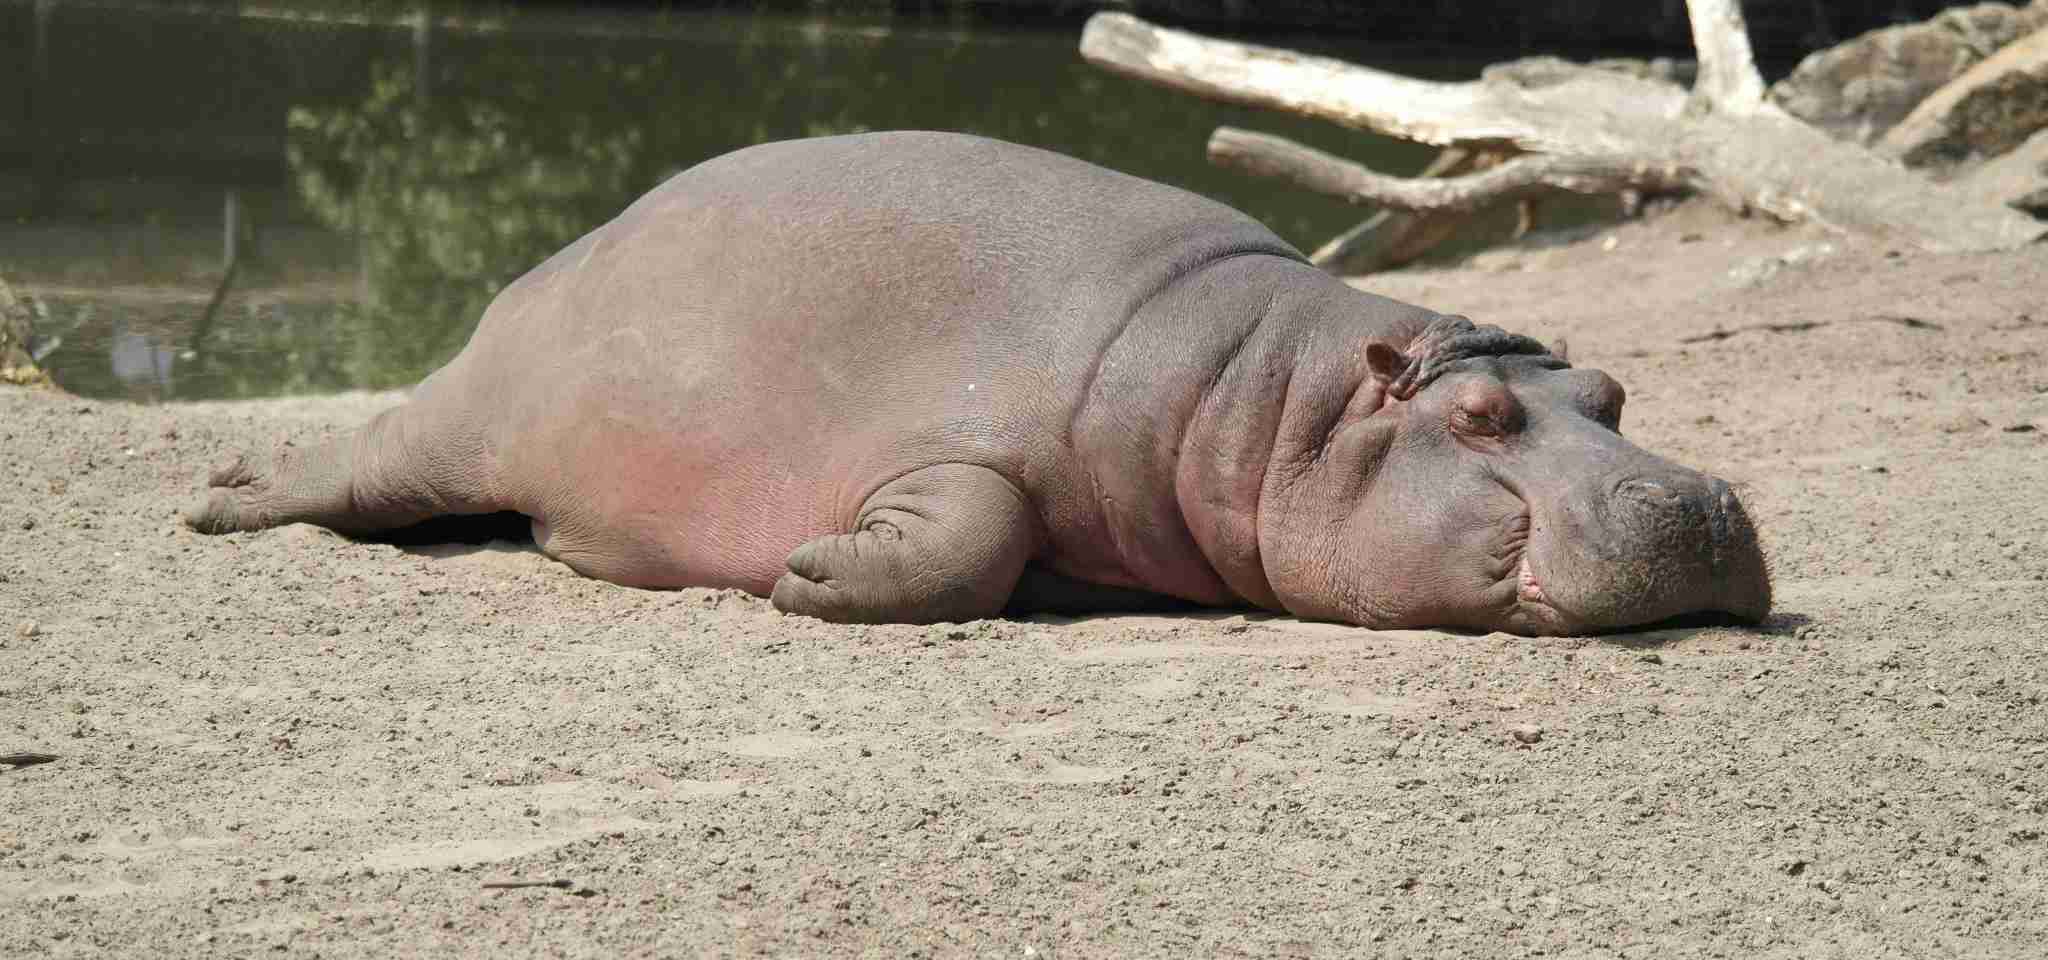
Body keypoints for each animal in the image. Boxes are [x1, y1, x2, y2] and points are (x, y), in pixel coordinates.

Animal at [187, 131, 1770, 635]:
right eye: (1480, 418)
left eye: (1614, 392)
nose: (1694, 502)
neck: (1270, 402)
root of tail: (543, 266)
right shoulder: (949, 447)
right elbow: (973, 527)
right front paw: (812, 574)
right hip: (464, 424)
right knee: (361, 466)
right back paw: (220, 496)